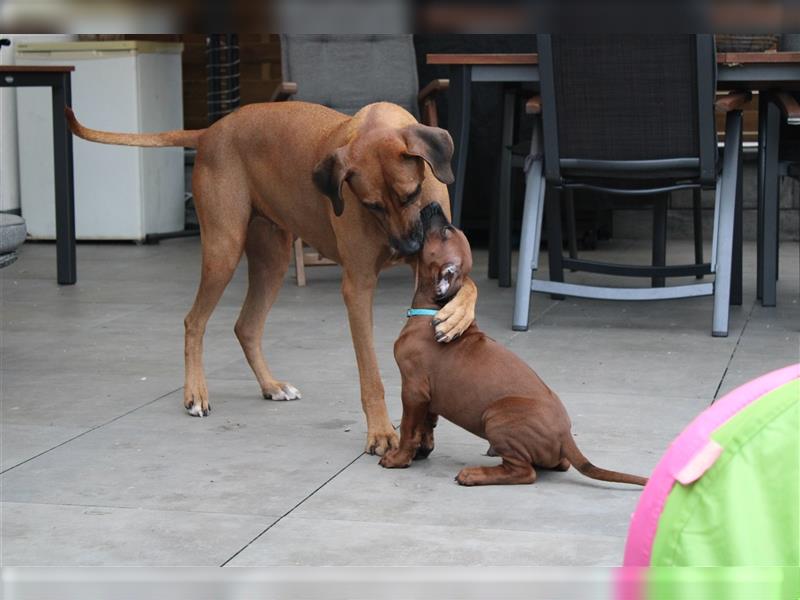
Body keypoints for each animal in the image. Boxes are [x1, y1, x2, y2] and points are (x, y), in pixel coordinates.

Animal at [67, 102, 476, 454]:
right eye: (371, 205)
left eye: (411, 194)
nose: (408, 246)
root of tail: (211, 132)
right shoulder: (358, 287)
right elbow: (370, 373)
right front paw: (379, 432)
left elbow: (466, 283)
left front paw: (456, 318)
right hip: (223, 250)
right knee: (194, 321)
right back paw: (196, 393)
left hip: (272, 259)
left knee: (246, 326)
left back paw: (270, 386)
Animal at [378, 204, 648, 486]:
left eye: (444, 232)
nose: (433, 205)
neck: (433, 308)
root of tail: (565, 436)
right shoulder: (428, 396)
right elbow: (427, 423)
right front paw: (422, 450)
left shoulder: (414, 389)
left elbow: (408, 427)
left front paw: (399, 458)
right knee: (558, 465)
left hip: (496, 416)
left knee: (524, 472)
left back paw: (474, 474)